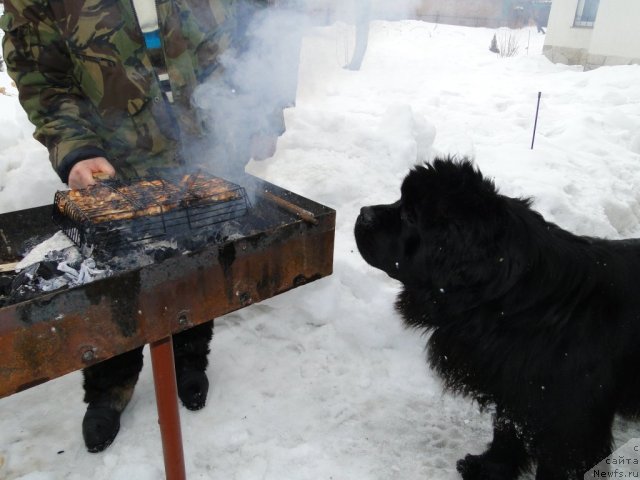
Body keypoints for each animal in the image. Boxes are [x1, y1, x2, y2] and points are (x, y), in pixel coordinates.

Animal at [356, 158, 640, 480]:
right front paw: (488, 468)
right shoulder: (514, 389)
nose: (363, 213)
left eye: (409, 215)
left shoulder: (570, 424)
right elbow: (507, 430)